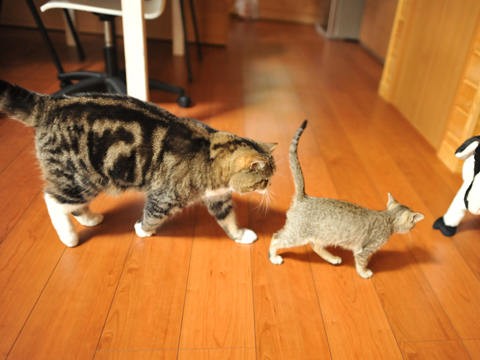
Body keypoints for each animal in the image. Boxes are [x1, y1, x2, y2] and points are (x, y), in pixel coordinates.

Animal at [0, 80, 276, 246]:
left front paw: (241, 235)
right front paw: (143, 230)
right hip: (78, 177)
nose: (269, 188)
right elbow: (152, 215)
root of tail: (51, 103)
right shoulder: (164, 197)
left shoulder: (218, 197)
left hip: (84, 180)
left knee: (71, 205)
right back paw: (68, 237)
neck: (210, 153)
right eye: (264, 179)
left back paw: (90, 219)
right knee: (53, 201)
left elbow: (228, 219)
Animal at [270, 121, 424, 278]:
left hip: (323, 234)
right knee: (276, 238)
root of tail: (304, 197)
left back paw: (332, 259)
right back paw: (274, 257)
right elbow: (361, 263)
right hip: (297, 234)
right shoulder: (364, 250)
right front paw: (365, 273)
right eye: (413, 224)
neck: (387, 218)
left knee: (315, 245)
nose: (412, 229)